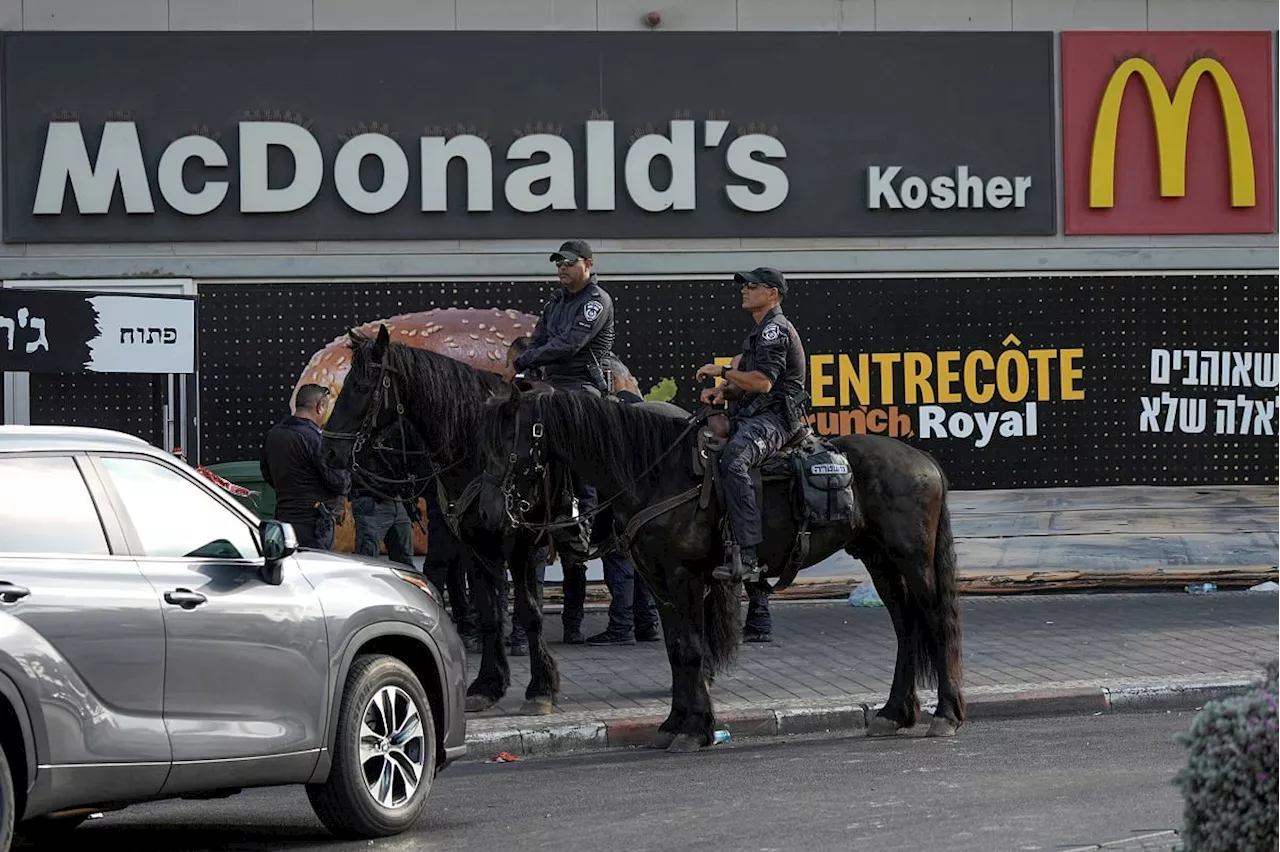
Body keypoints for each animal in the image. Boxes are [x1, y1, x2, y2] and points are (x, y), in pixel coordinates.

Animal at [325, 324, 593, 716]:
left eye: (360, 386)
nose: (330, 450)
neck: (479, 450)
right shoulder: (474, 544)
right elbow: (490, 613)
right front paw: (487, 685)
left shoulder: (523, 545)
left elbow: (530, 612)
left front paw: (541, 688)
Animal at [481, 381, 967, 752]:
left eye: (512, 441)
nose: (490, 509)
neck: (656, 473)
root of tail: (926, 462)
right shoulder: (658, 582)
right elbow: (677, 650)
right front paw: (675, 723)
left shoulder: (684, 578)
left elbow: (694, 650)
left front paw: (696, 729)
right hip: (879, 559)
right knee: (906, 627)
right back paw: (894, 713)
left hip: (912, 559)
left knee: (937, 620)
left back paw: (946, 714)